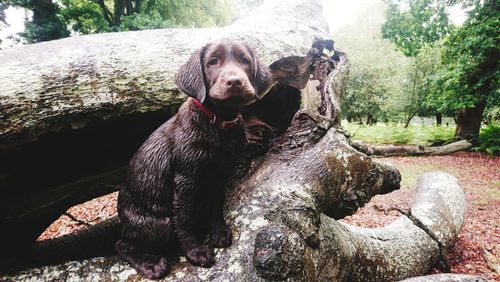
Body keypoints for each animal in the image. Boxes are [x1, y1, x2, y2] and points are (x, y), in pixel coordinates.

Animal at [114, 39, 272, 280]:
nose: (235, 82)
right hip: (158, 224)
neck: (217, 125)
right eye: (212, 61)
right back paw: (150, 263)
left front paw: (218, 232)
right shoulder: (186, 179)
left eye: (244, 60)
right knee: (122, 245)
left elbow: (216, 206)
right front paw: (195, 251)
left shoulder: (220, 175)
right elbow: (185, 219)